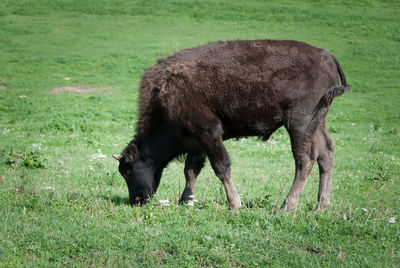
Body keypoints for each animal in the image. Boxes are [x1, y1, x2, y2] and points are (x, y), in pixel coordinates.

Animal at [113, 39, 350, 211]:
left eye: (127, 170)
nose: (136, 200)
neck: (167, 94)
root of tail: (327, 56)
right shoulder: (197, 143)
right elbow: (191, 170)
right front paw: (186, 200)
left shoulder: (209, 134)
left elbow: (221, 167)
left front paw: (235, 205)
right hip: (317, 122)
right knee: (326, 153)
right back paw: (321, 206)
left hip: (299, 124)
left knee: (305, 160)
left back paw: (286, 207)